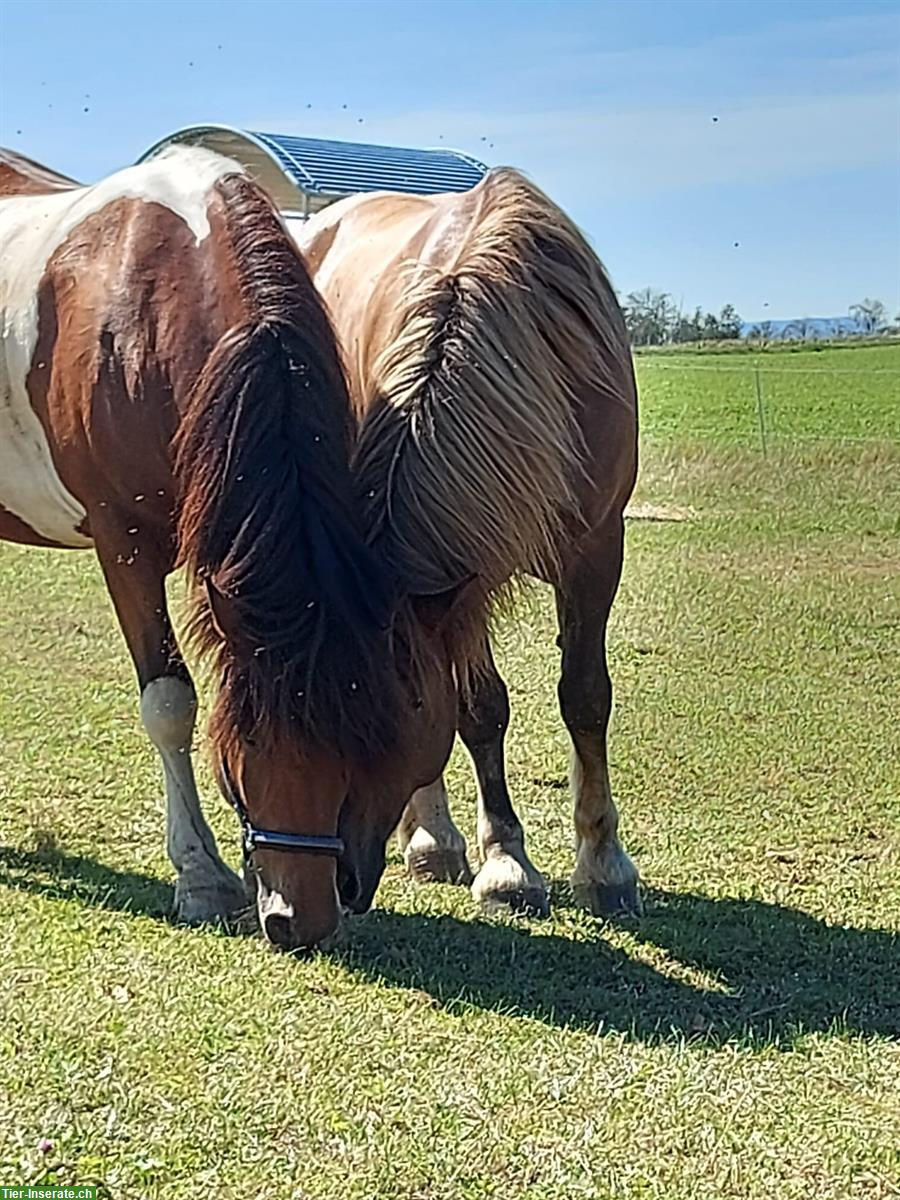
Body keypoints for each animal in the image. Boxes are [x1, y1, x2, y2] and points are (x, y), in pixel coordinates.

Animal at [292, 166, 638, 916]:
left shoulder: (596, 553)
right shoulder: (467, 583)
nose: (331, 884)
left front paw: (603, 864)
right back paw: (433, 839)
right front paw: (507, 863)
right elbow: (480, 711)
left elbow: (586, 696)